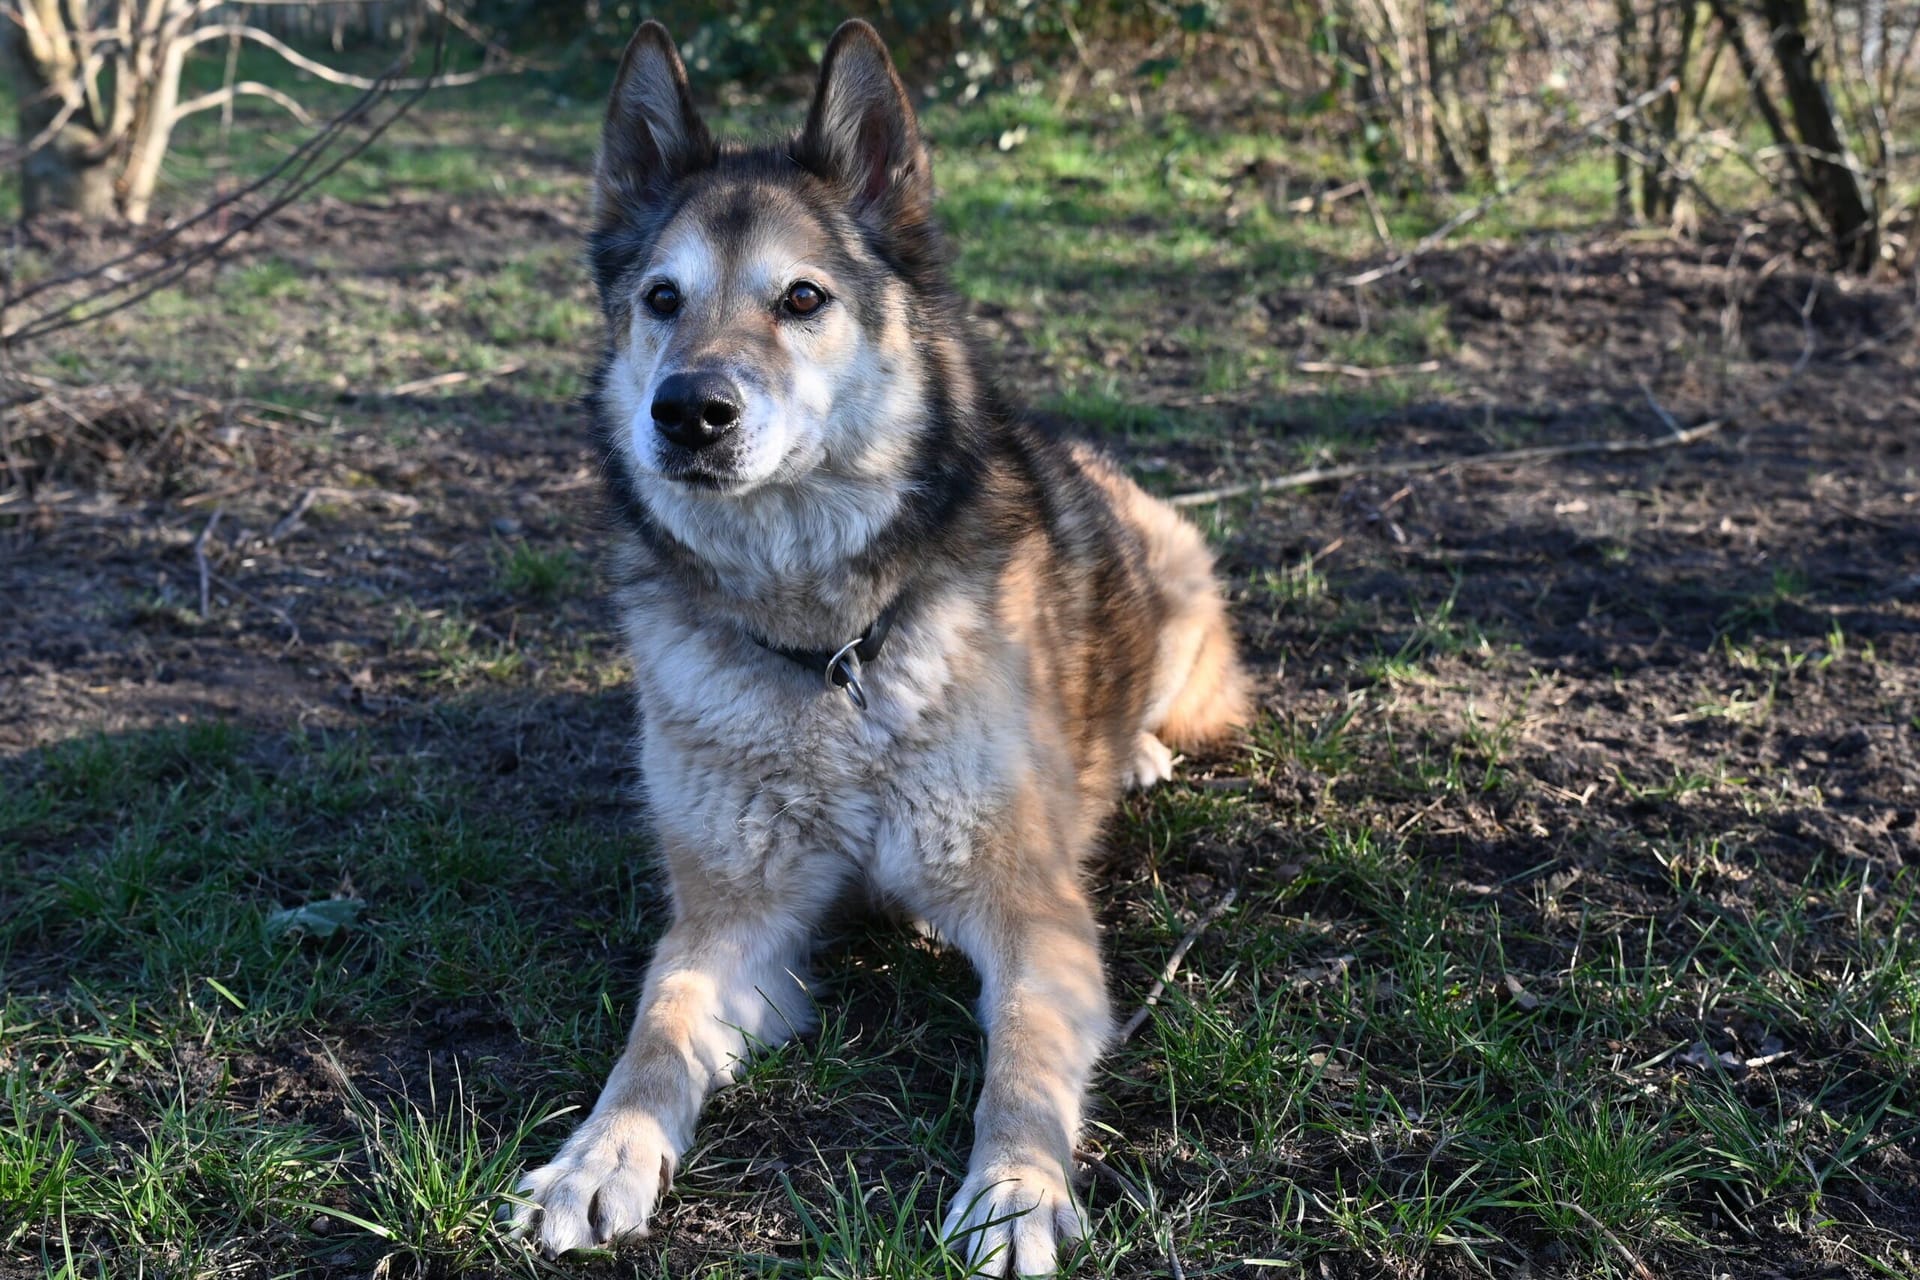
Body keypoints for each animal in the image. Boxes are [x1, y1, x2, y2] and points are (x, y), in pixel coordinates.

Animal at [510, 20, 1251, 1280]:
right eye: (662, 298)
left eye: (802, 298)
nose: (687, 409)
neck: (829, 654)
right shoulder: (730, 919)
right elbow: (656, 1030)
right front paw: (597, 1156)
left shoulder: (1035, 916)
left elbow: (1023, 1067)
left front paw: (1012, 1190)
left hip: (1182, 599)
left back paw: (1141, 753)